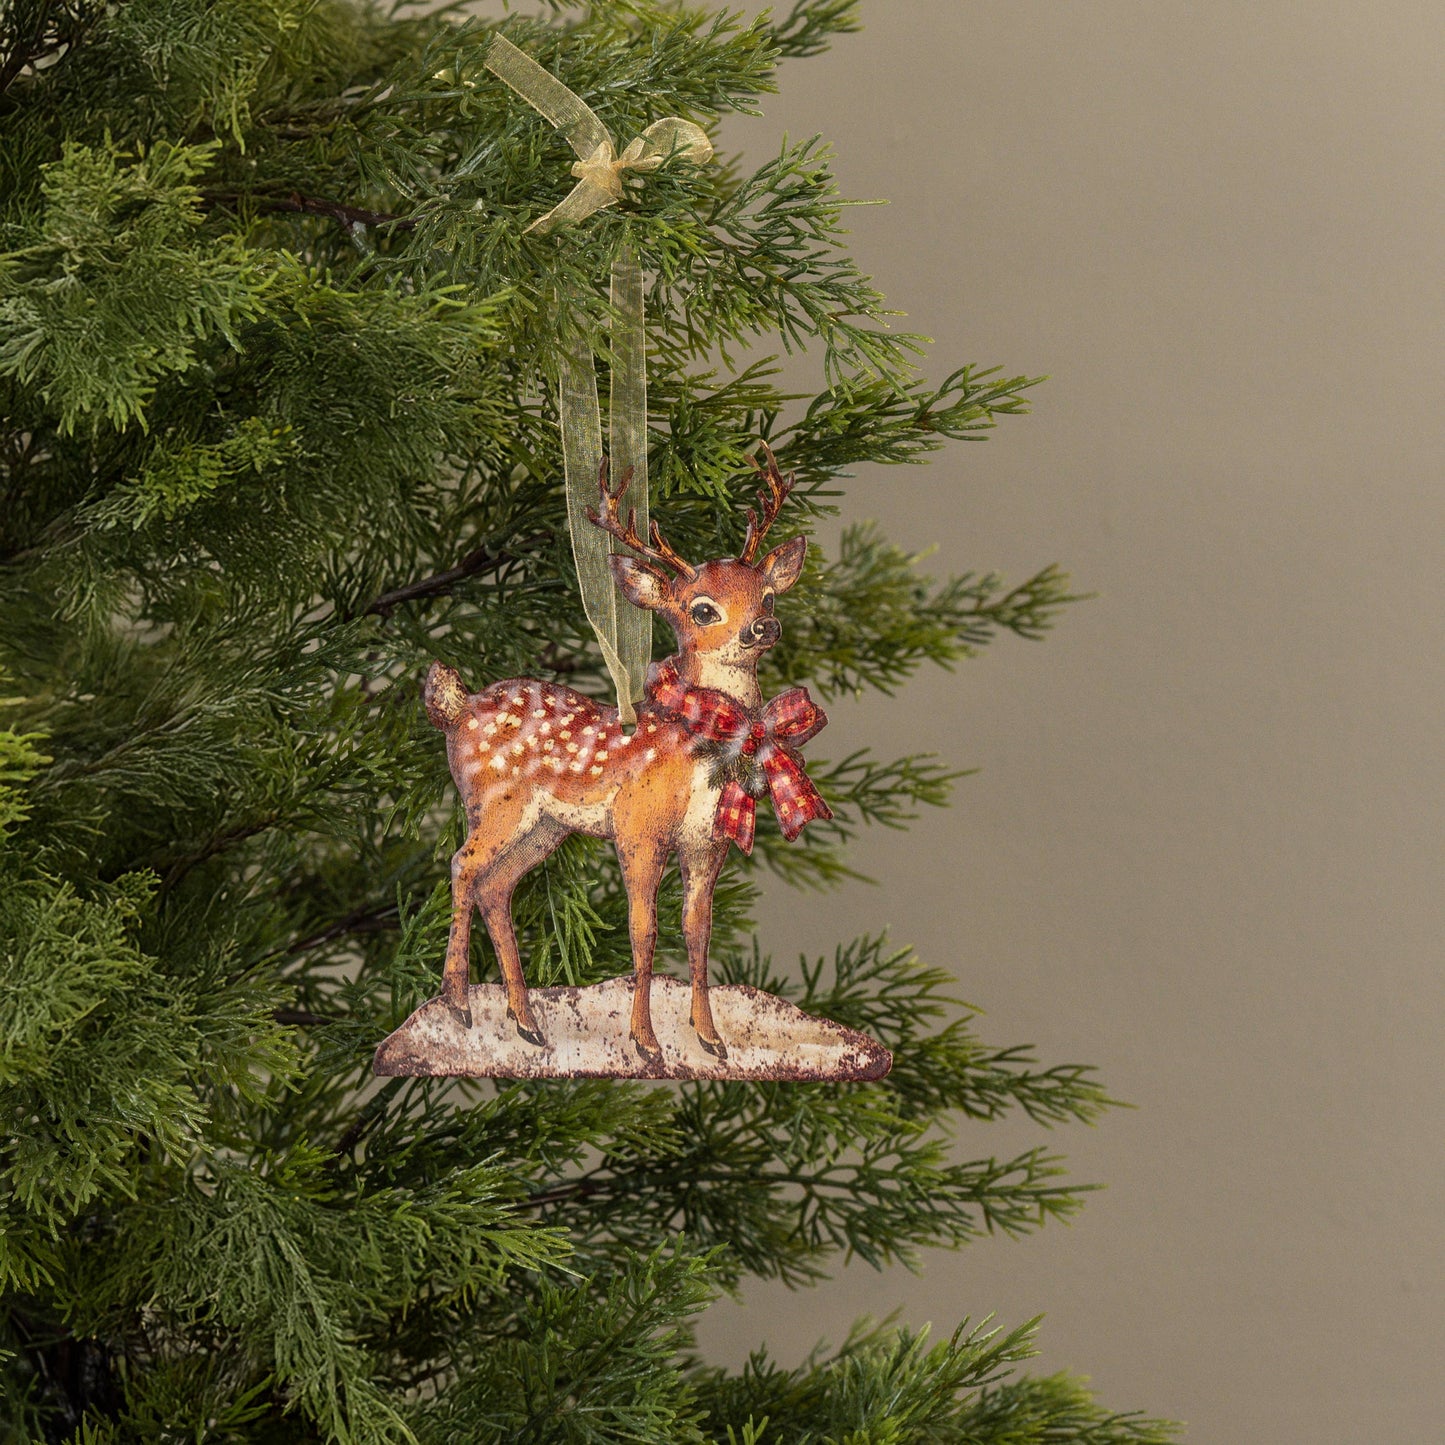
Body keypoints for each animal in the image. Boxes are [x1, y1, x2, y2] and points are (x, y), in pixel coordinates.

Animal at [423, 444, 832, 1064]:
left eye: (766, 595)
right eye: (703, 609)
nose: (765, 626)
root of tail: (457, 706)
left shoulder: (708, 842)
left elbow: (697, 931)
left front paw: (710, 1039)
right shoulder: (638, 827)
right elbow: (644, 931)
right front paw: (645, 1042)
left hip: (545, 826)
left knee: (497, 886)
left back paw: (527, 1023)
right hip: (495, 801)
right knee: (462, 865)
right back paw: (457, 1003)